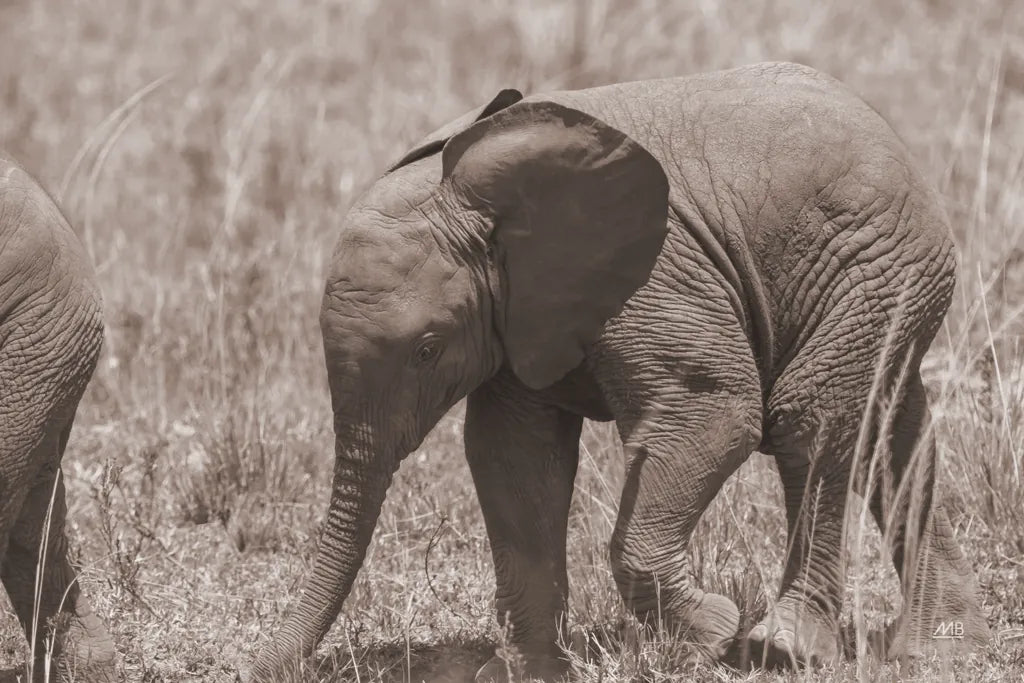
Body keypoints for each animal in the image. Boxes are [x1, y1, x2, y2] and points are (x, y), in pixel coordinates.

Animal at [250, 61, 991, 680]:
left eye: (428, 348)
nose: (256, 666)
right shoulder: (520, 311)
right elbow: (514, 457)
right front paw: (527, 671)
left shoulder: (652, 276)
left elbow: (715, 412)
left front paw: (714, 632)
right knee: (894, 431)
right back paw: (937, 648)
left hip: (874, 265)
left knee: (812, 423)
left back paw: (784, 648)